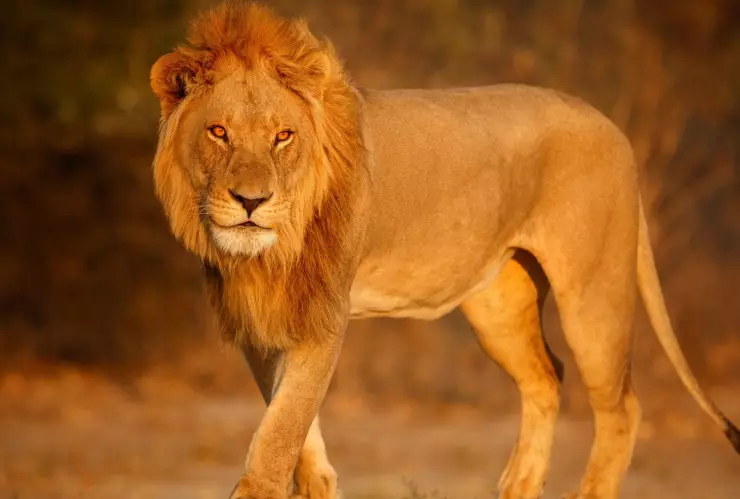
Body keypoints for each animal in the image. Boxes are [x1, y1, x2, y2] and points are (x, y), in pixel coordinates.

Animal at [149, 2, 740, 499]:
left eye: (283, 136)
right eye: (219, 132)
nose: (252, 201)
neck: (265, 256)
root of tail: (614, 128)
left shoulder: (324, 315)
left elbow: (280, 432)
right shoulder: (259, 320)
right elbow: (292, 423)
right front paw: (318, 483)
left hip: (594, 293)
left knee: (621, 408)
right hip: (499, 305)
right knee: (547, 377)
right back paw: (518, 488)